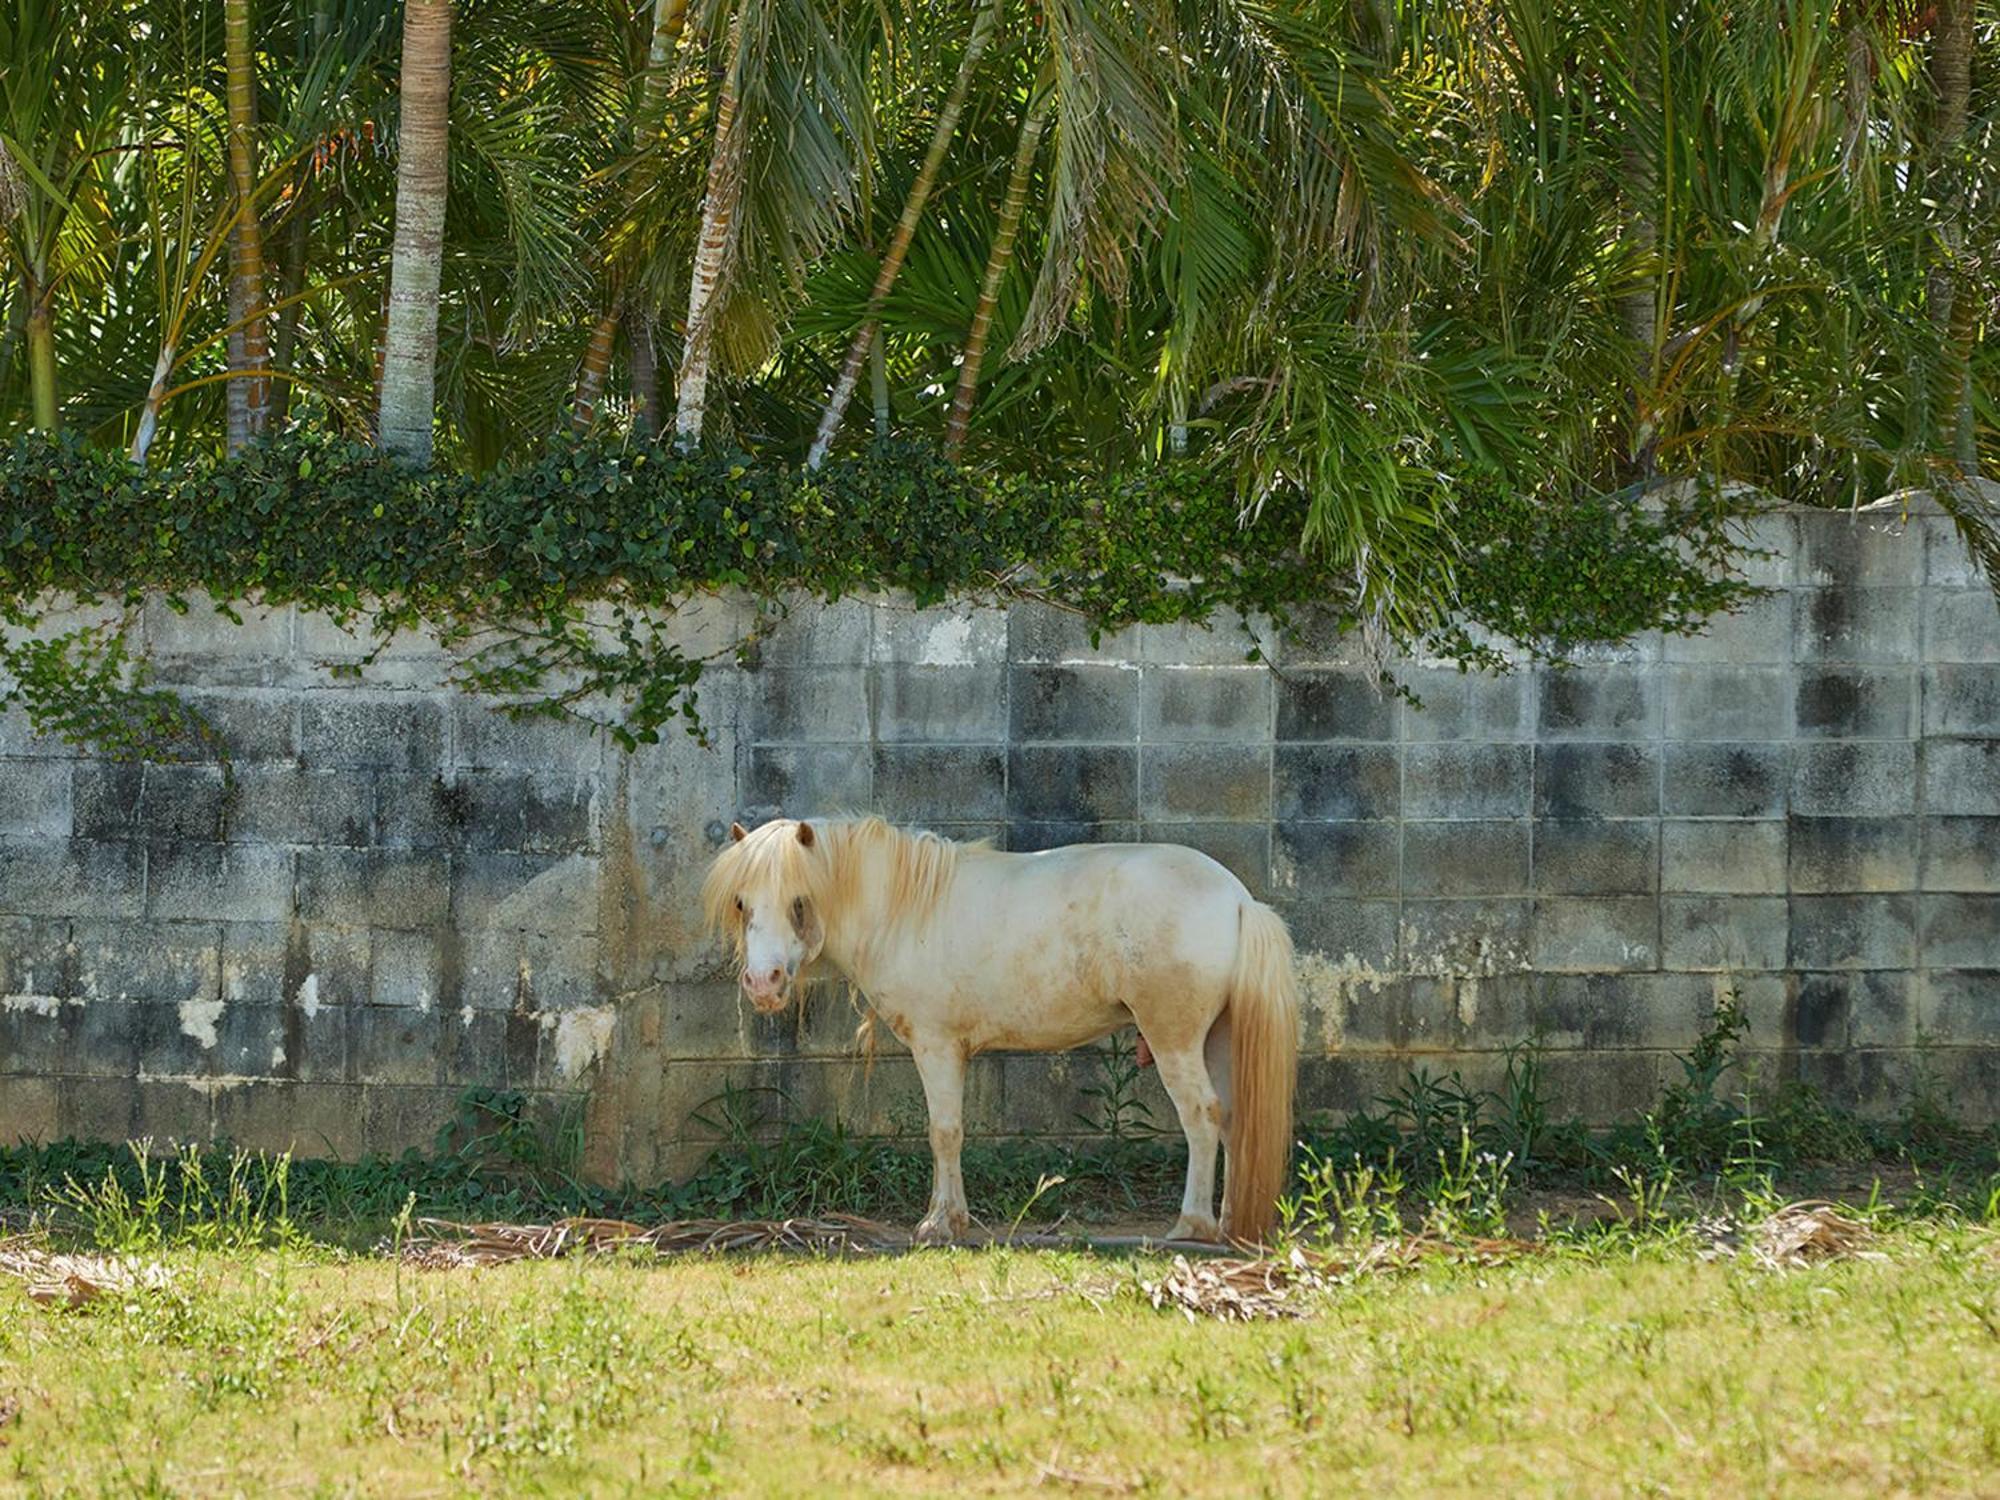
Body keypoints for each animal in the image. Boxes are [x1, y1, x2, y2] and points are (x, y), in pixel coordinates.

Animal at [696, 816, 1304, 1248]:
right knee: (1233, 1118)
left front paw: (940, 1223)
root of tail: (1238, 899)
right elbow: (947, 1133)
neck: (904, 909)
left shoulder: (937, 1047)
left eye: (800, 901)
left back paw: (1191, 1225)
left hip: (1174, 1037)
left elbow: (944, 1132)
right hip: (1217, 1038)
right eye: (742, 902)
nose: (763, 983)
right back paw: (1229, 1221)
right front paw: (950, 1218)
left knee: (1202, 1116)